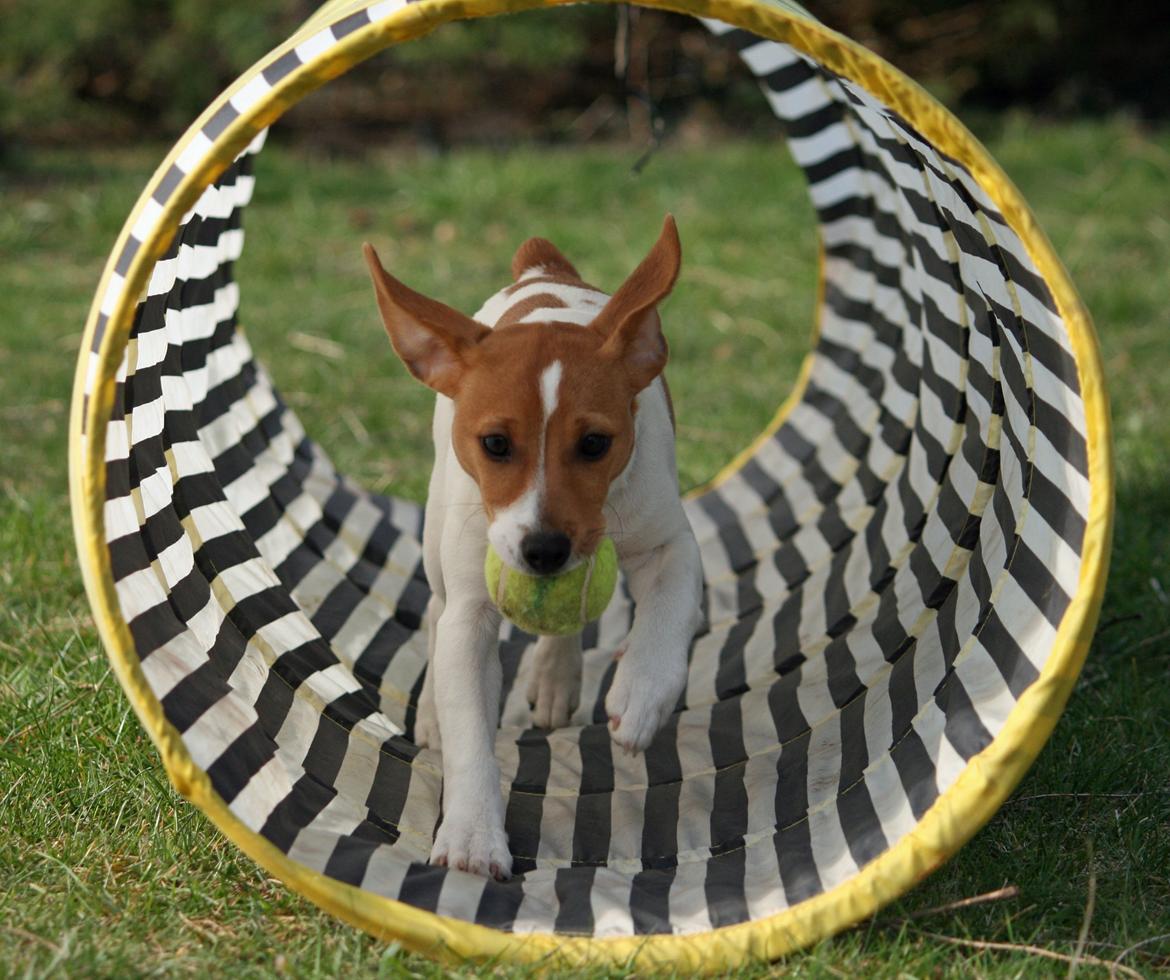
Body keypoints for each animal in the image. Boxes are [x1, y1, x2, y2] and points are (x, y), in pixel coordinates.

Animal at [360, 216, 697, 884]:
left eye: (595, 444)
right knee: (436, 612)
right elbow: (469, 730)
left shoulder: (669, 537)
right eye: (495, 443)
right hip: (440, 535)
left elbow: (668, 610)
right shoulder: (472, 610)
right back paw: (434, 714)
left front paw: (641, 694)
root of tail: (543, 271)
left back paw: (556, 678)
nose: (544, 550)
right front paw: (471, 839)